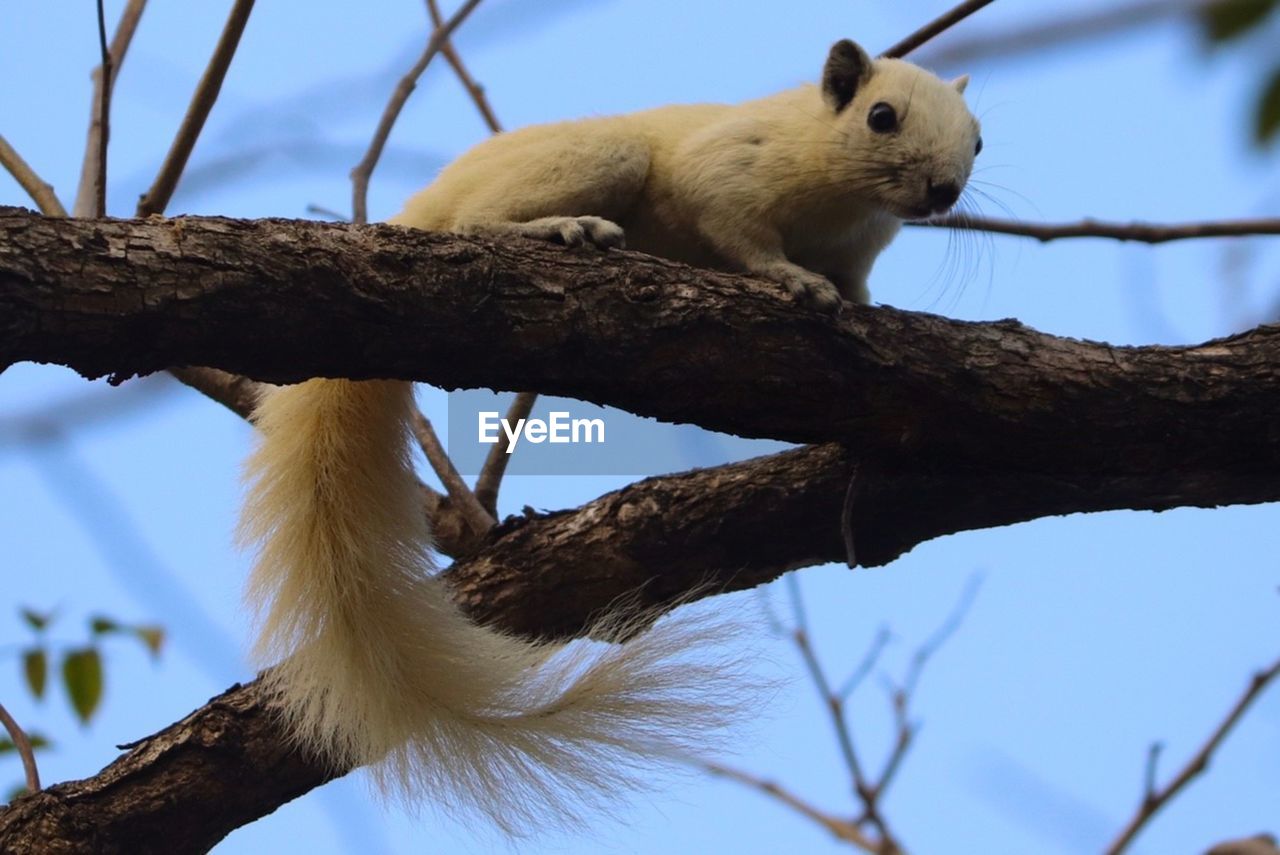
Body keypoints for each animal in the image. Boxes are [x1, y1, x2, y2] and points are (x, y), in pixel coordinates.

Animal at [240, 36, 977, 829]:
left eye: (978, 139)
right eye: (881, 116)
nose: (943, 191)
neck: (841, 194)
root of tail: (425, 204)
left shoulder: (859, 250)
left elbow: (858, 286)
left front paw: (863, 306)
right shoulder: (727, 174)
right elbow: (742, 235)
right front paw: (794, 280)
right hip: (602, 156)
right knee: (473, 223)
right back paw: (566, 228)